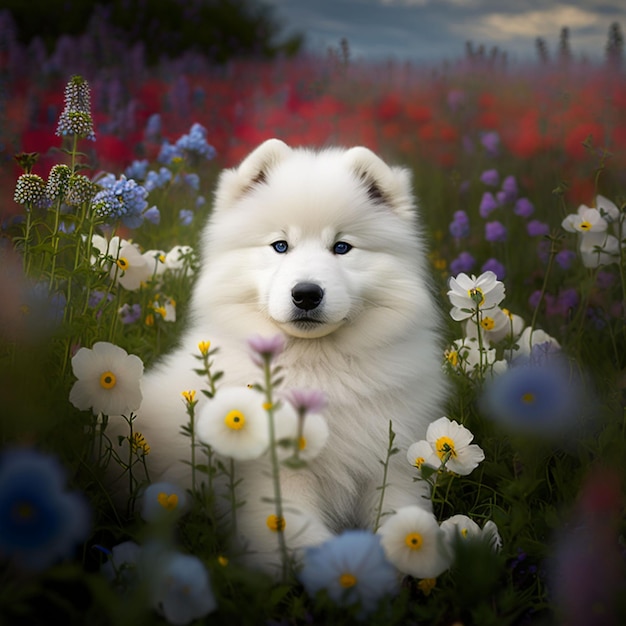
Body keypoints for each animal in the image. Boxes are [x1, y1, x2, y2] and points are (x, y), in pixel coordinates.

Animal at [134, 140, 446, 572]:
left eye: (342, 247)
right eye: (280, 245)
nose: (307, 294)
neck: (317, 368)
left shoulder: (392, 461)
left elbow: (403, 518)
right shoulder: (276, 478)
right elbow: (300, 537)